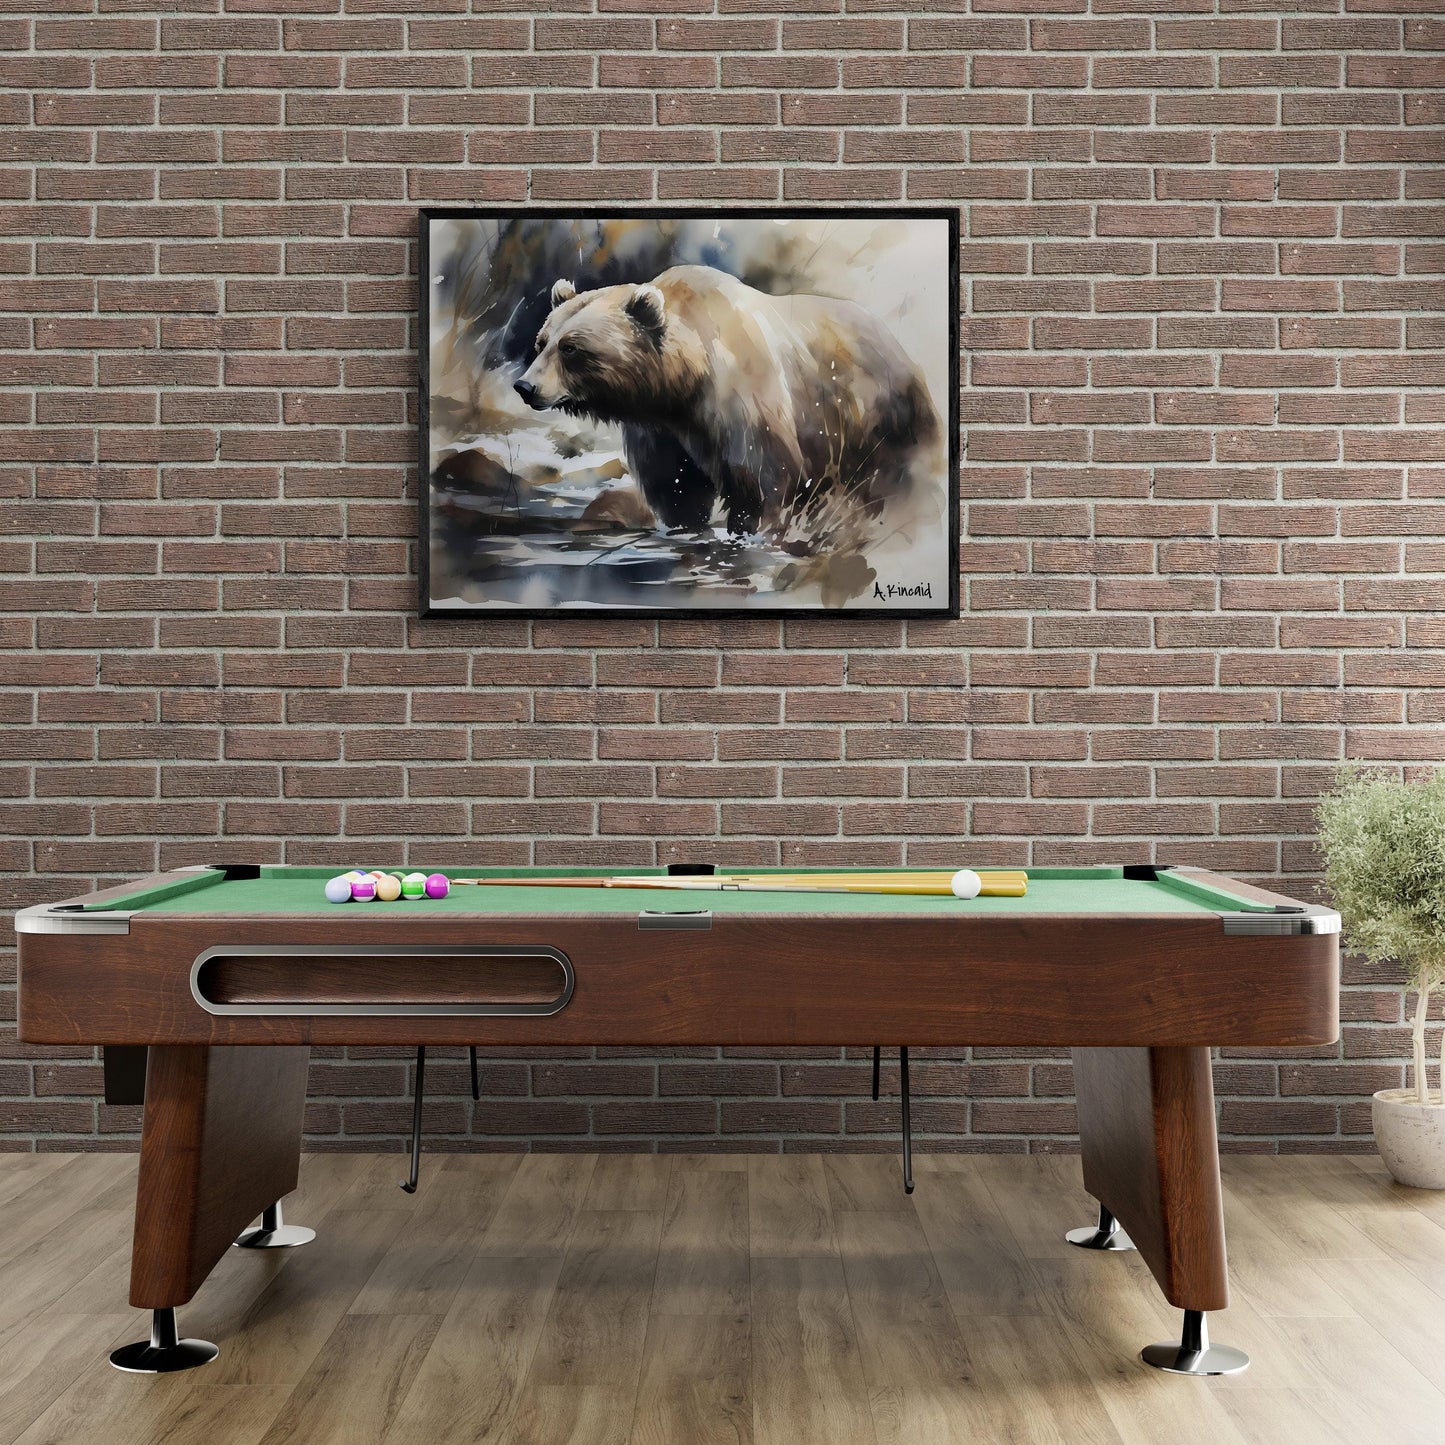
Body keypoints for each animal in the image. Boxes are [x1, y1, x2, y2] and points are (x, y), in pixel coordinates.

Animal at [514, 265, 943, 544]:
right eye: (542, 341)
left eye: (571, 348)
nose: (525, 386)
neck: (681, 385)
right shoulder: (661, 429)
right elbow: (675, 485)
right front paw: (684, 527)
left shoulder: (744, 401)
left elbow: (762, 478)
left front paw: (748, 531)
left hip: (879, 418)